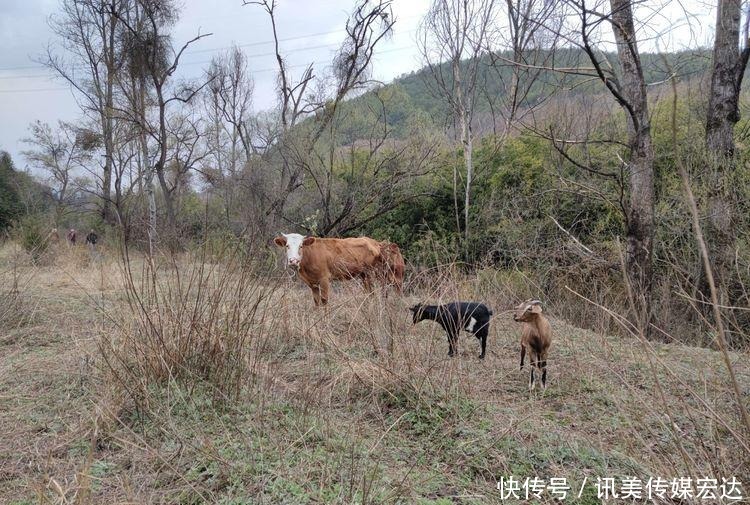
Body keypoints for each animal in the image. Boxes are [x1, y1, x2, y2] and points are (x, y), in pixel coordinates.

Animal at [274, 231, 402, 306]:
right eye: (287, 246)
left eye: (301, 246)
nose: (293, 261)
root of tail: (376, 243)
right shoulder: (312, 283)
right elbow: (316, 302)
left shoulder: (324, 279)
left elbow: (324, 300)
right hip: (365, 275)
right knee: (371, 293)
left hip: (374, 273)